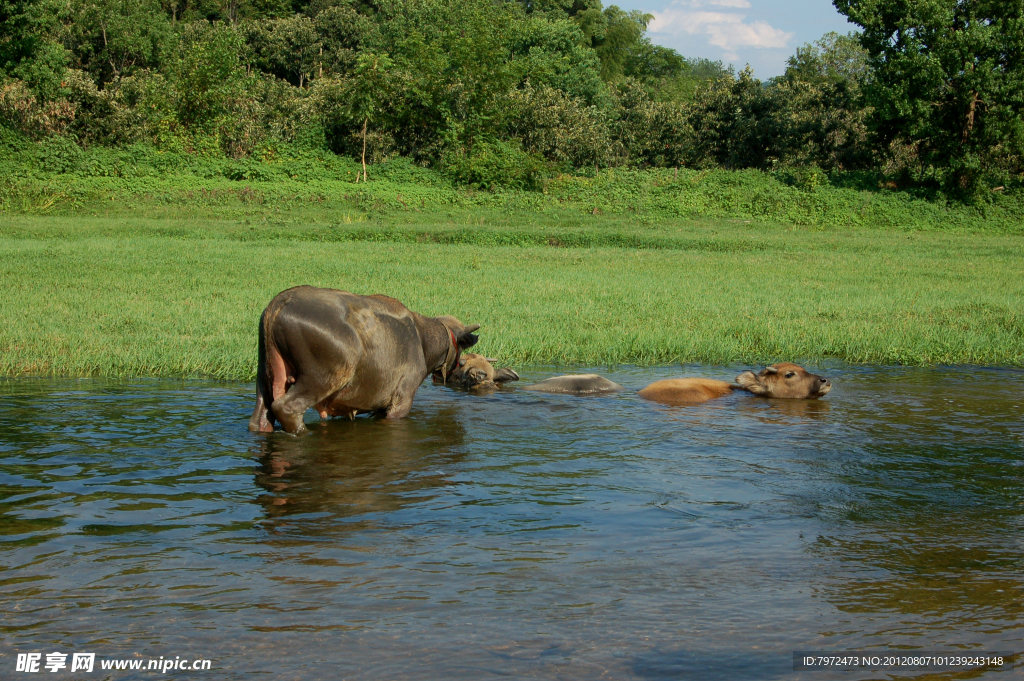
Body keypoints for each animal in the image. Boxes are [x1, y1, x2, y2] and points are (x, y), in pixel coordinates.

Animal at [251, 284, 483, 432]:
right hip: (323, 376)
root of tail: (277, 304)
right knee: (286, 408)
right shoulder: (403, 395)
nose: (458, 366)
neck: (427, 347)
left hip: (264, 373)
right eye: (461, 349)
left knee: (260, 418)